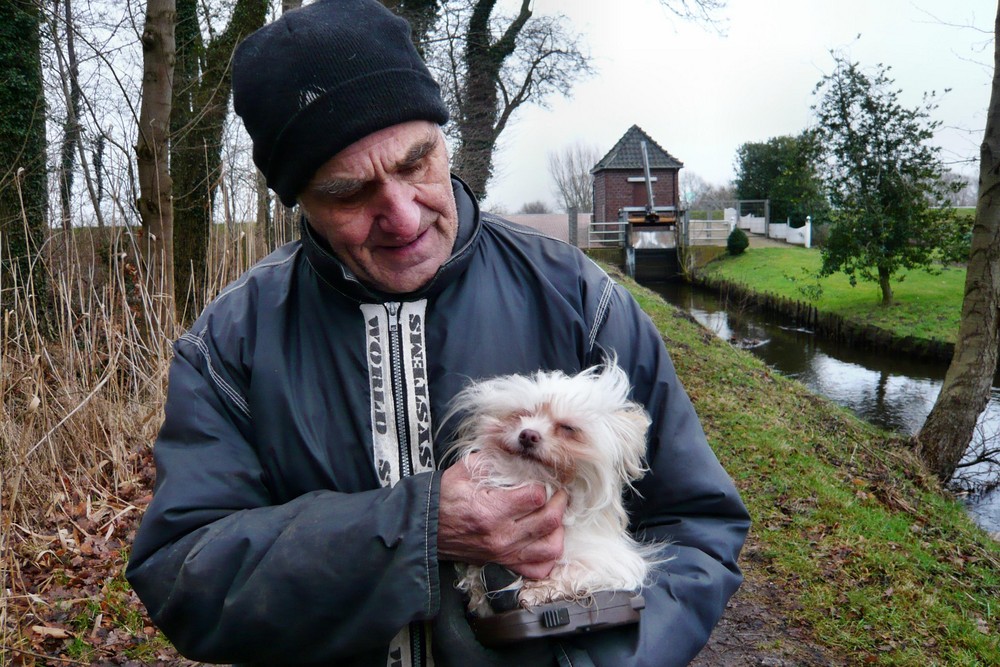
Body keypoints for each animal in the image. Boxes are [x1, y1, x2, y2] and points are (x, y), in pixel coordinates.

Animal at [446, 362, 664, 620]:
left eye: (568, 428)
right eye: (521, 414)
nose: (528, 434)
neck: (541, 482)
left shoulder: (612, 563)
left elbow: (573, 571)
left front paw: (538, 589)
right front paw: (478, 587)